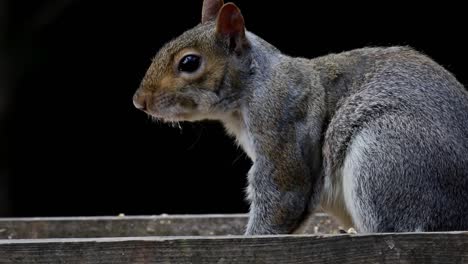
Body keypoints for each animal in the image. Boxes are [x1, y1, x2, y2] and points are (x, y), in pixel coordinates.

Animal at [132, 0, 468, 235]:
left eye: (189, 63)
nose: (139, 101)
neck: (254, 83)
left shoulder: (280, 119)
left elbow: (283, 191)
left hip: (387, 152)